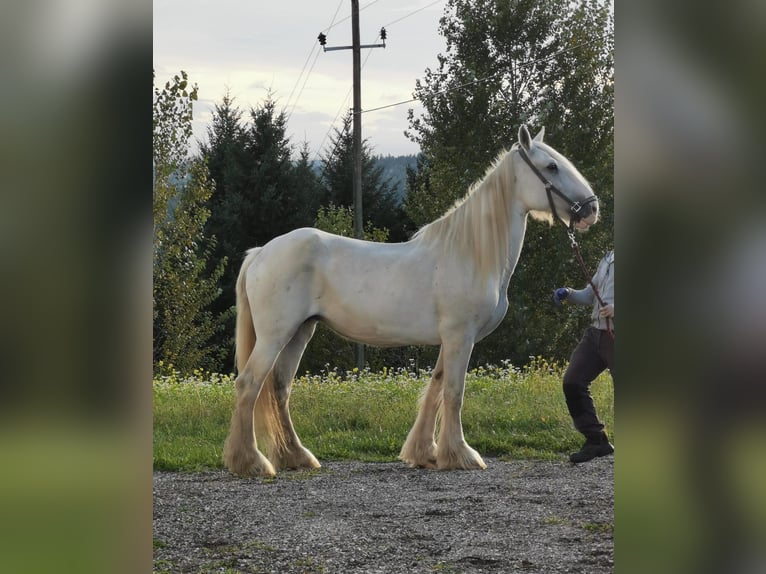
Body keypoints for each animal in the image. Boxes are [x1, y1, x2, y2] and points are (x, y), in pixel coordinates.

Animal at [223, 125, 599, 477]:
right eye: (551, 167)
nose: (591, 209)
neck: (470, 253)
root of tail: (261, 252)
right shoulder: (460, 336)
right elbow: (454, 393)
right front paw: (462, 455)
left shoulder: (451, 339)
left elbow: (435, 388)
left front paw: (427, 453)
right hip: (276, 335)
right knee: (249, 385)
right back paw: (252, 462)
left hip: (301, 332)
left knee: (279, 389)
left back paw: (296, 457)